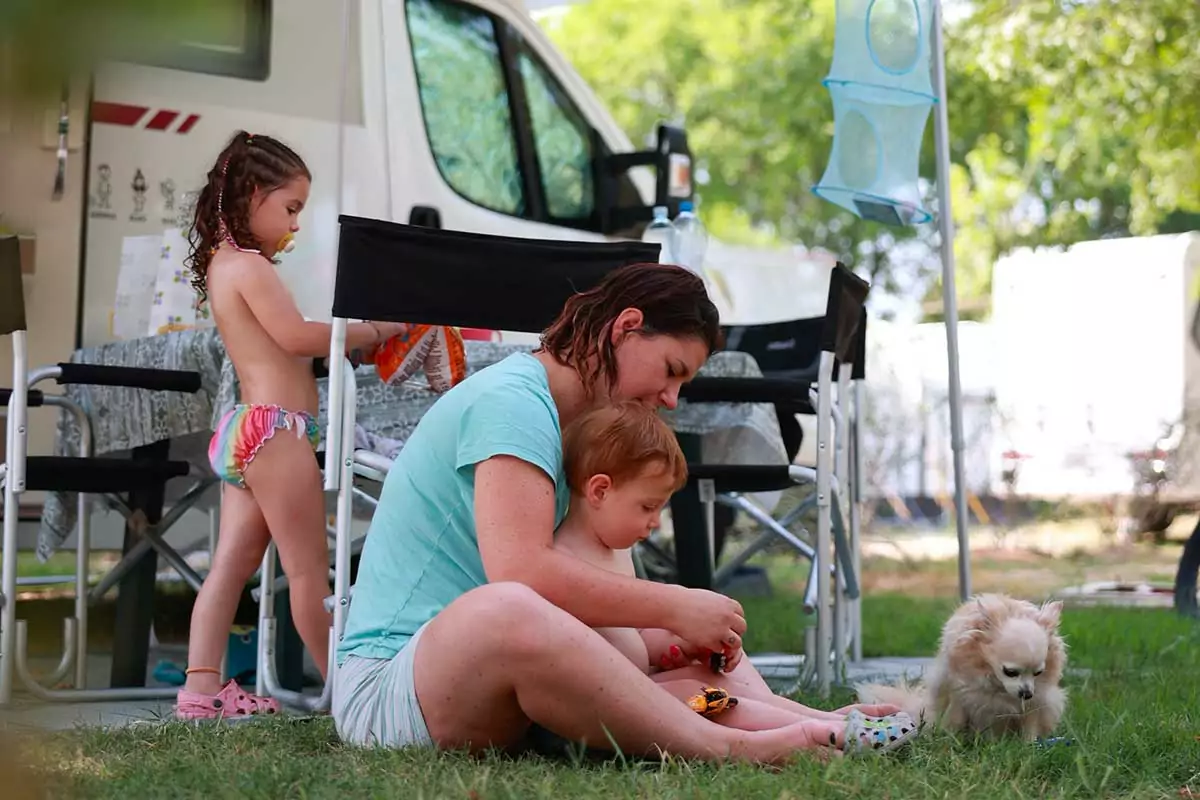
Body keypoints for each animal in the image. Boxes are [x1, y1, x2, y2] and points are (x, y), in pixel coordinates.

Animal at [859, 592, 1065, 743]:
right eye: (1010, 672)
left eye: (1038, 673)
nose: (1026, 693)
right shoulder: (959, 695)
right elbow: (956, 719)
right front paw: (954, 744)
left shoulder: (1036, 703)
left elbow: (1030, 726)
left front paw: (1029, 747)